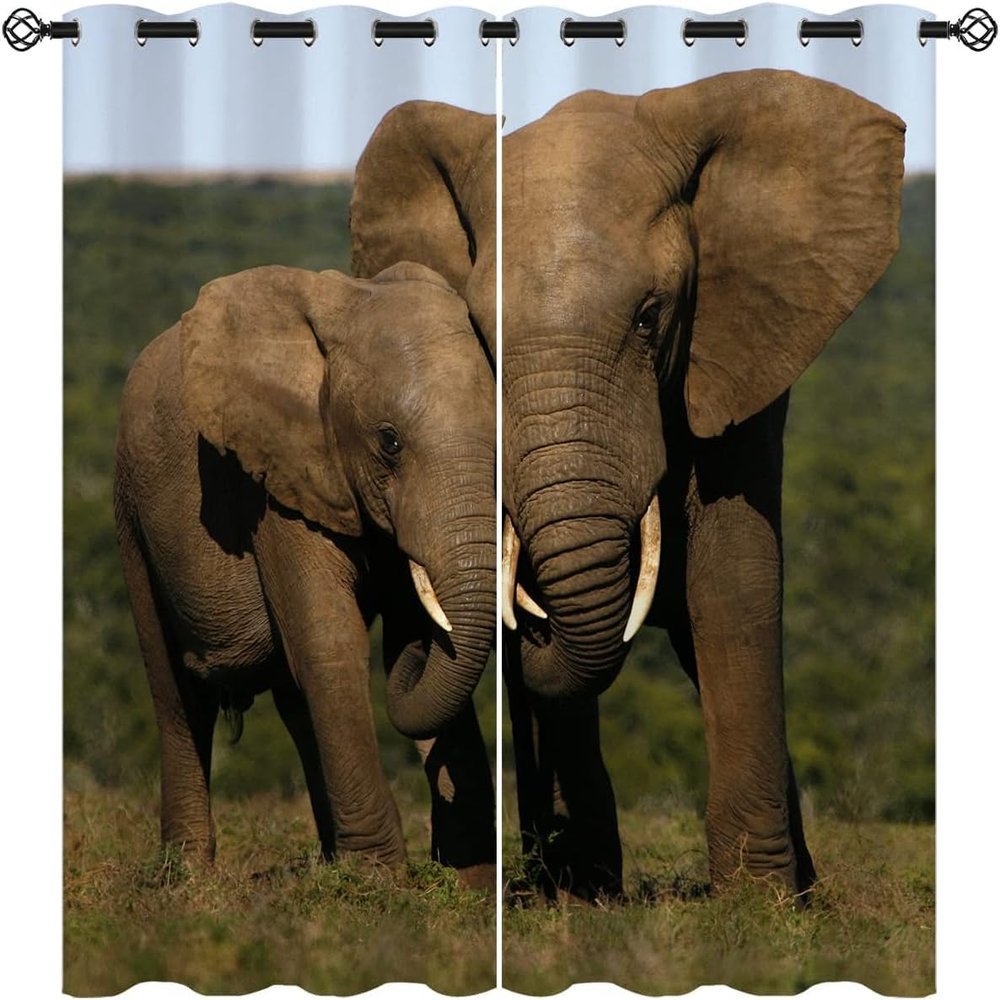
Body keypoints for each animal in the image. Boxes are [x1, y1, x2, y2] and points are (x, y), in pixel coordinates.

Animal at [113, 262, 496, 886]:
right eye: (389, 442)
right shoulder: (277, 478)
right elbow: (328, 641)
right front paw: (379, 885)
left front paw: (470, 888)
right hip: (132, 514)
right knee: (176, 693)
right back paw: (186, 879)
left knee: (293, 702)